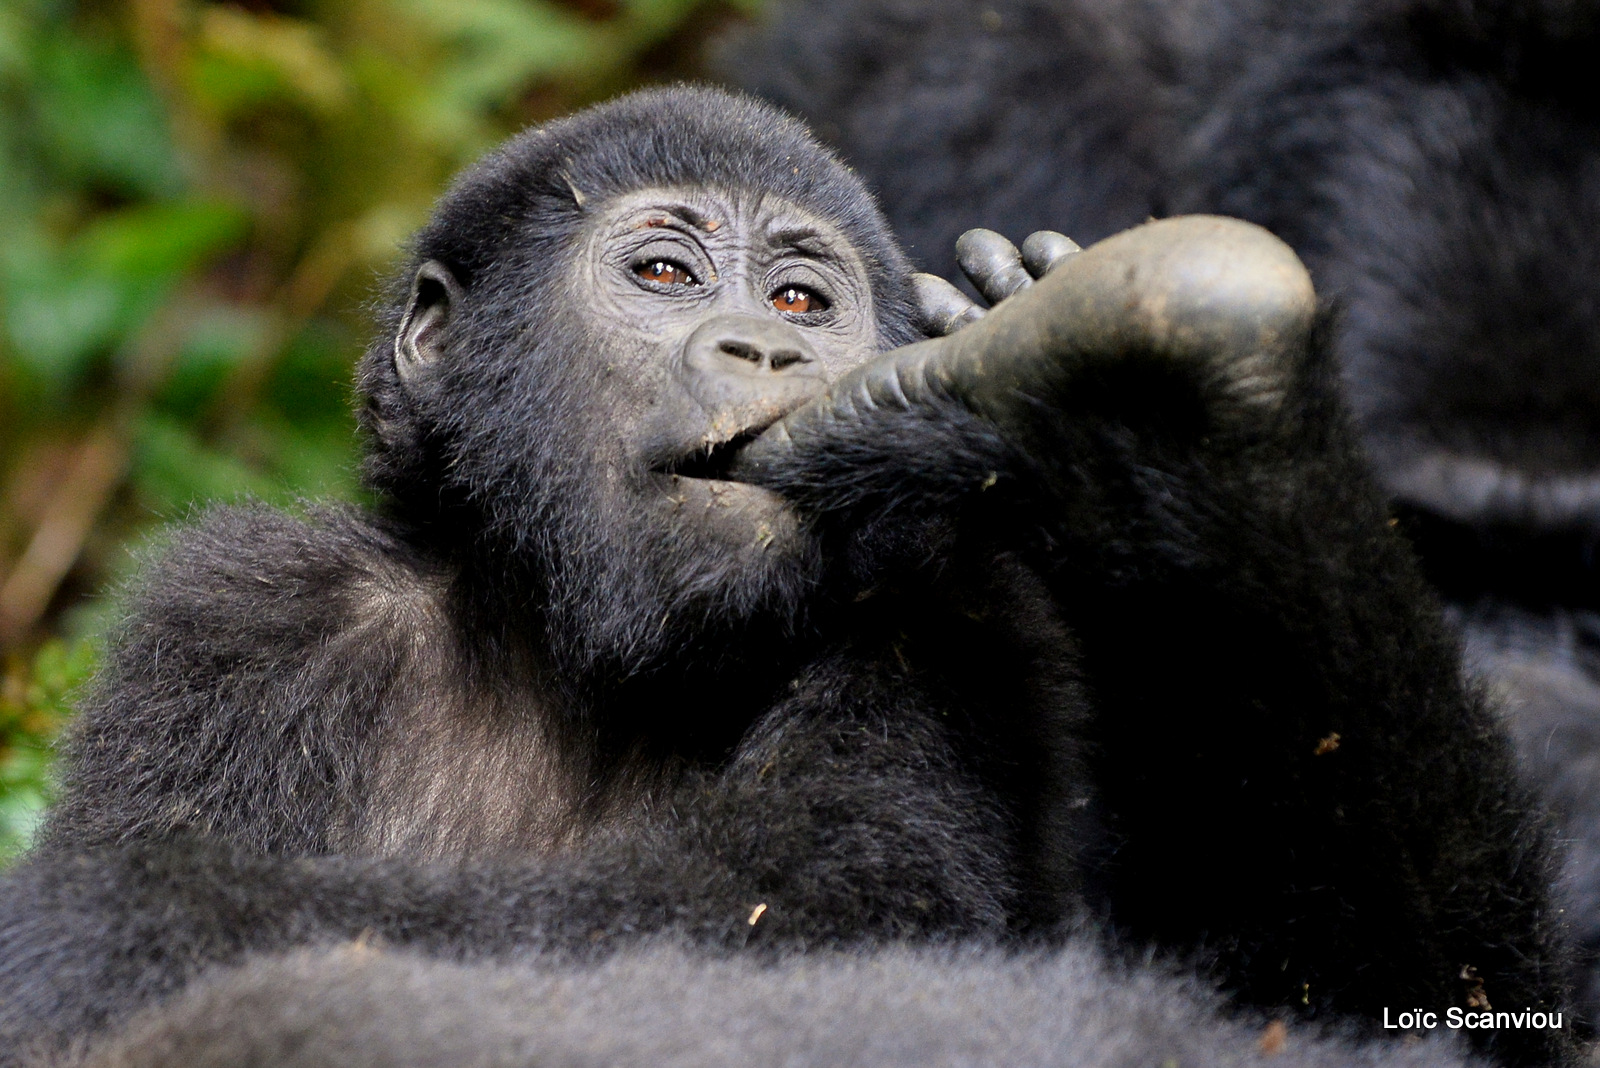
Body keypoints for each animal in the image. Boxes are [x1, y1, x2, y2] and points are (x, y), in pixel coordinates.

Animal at [0, 85, 1574, 1068]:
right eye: (667, 276)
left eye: (804, 299)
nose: (764, 347)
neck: (569, 646)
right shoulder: (241, 623)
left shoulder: (941, 605)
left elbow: (814, 900)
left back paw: (1167, 408)